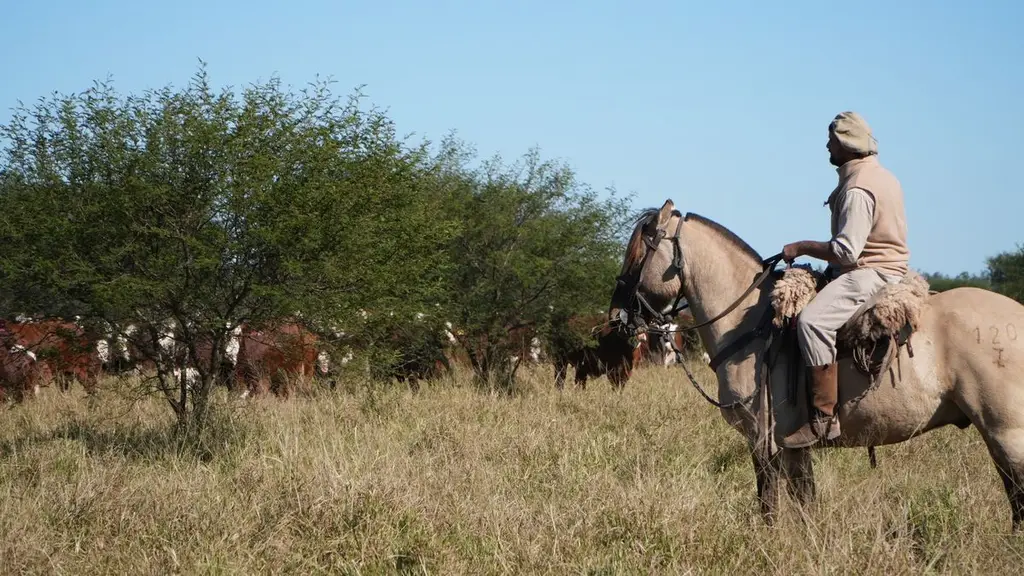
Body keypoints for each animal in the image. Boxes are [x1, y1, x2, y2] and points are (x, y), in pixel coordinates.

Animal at [608, 199, 1024, 531]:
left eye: (638, 252)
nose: (617, 317)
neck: (751, 323)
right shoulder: (794, 447)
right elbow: (804, 499)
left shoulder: (763, 439)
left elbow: (769, 501)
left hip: (1006, 431)